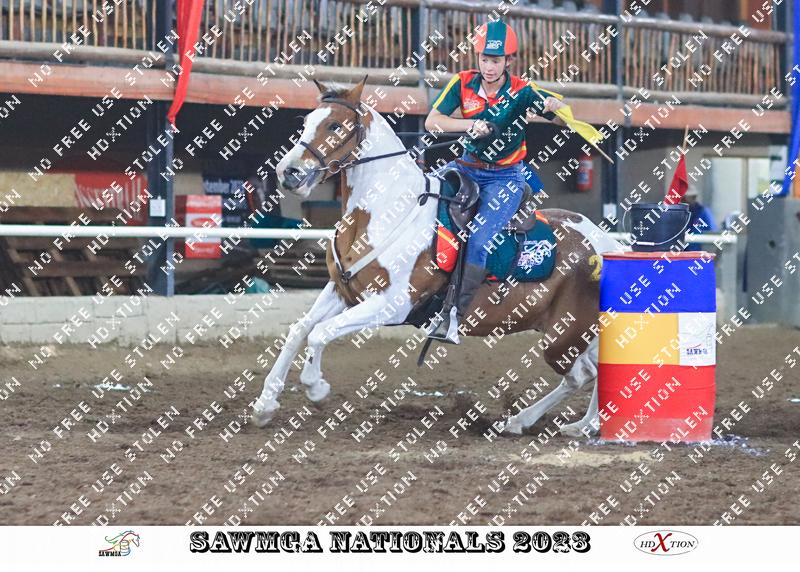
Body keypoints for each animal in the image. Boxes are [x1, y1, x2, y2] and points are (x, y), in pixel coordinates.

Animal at [251, 76, 626, 437]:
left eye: (334, 125)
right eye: (306, 122)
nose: (288, 172)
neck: (386, 211)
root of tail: (606, 244)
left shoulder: (392, 304)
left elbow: (320, 333)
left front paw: (316, 387)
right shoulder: (342, 290)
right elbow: (300, 329)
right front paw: (265, 405)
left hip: (564, 335)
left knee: (582, 374)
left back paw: (557, 423)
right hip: (566, 330)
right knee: (592, 370)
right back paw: (563, 424)